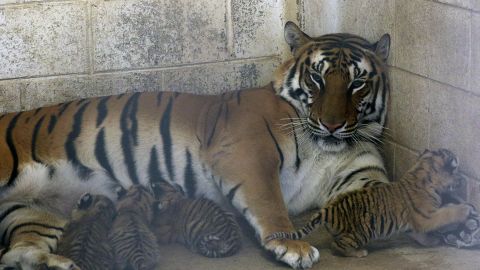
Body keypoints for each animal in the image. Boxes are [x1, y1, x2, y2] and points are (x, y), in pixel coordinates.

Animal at [0, 22, 392, 268]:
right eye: (316, 78)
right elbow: (270, 202)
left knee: (17, 254)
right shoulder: (247, 153)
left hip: (34, 215)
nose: (332, 124)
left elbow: (385, 198)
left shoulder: (362, 173)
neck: (323, 147)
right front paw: (292, 245)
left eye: (357, 83)